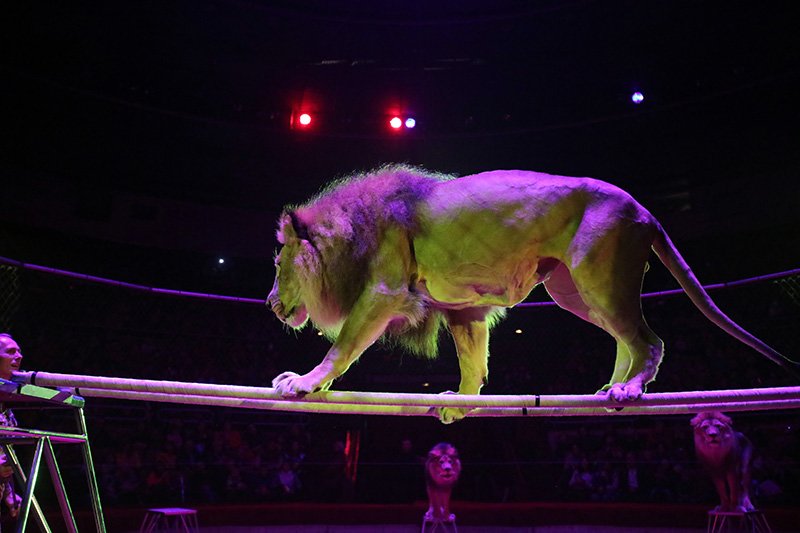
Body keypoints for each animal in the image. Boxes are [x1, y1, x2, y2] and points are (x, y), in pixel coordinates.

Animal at [268, 162, 792, 420]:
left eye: (277, 263)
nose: (271, 302)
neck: (350, 232)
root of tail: (647, 212)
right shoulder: (464, 309)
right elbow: (474, 365)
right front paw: (460, 404)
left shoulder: (384, 289)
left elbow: (343, 345)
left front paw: (307, 382)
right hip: (574, 290)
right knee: (625, 338)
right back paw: (610, 388)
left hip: (599, 276)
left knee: (649, 340)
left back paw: (630, 388)